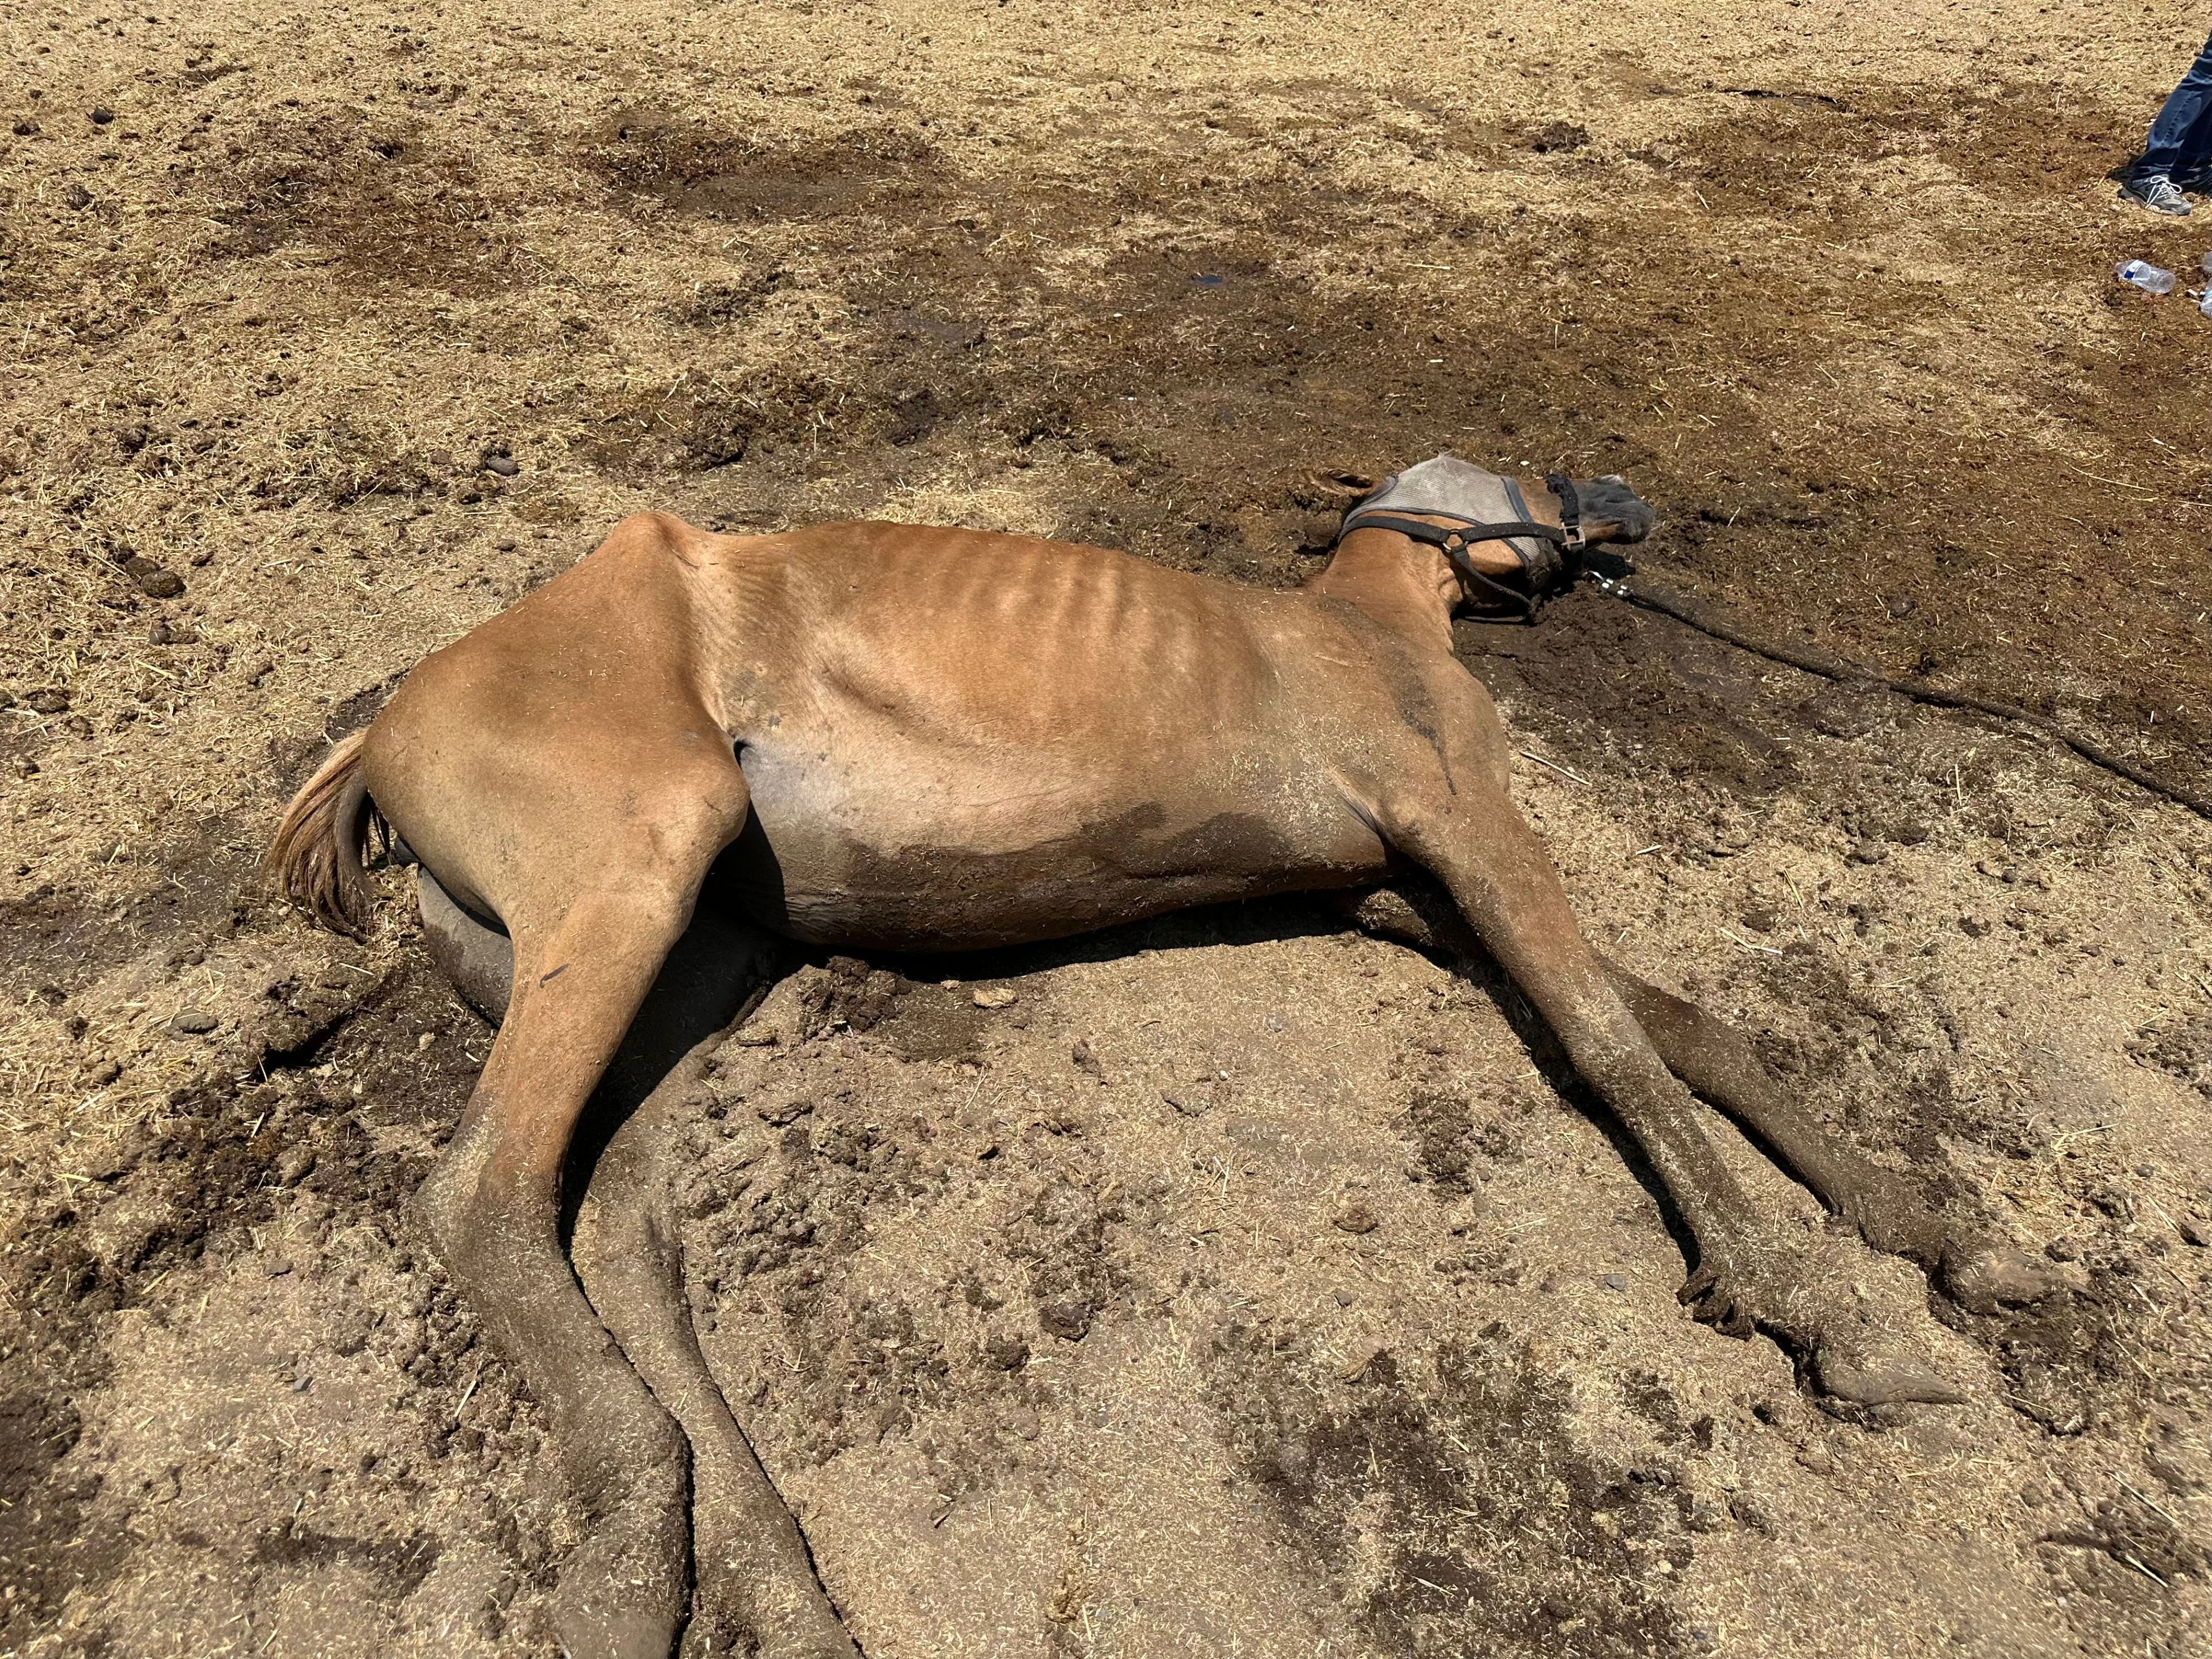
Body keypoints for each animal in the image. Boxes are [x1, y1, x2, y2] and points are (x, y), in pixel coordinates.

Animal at [272, 462, 2052, 1659]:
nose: (1629, 500)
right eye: (1541, 475)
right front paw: (1823, 1313)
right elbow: (1617, 1043)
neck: (1361, 632)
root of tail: (383, 728)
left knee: (616, 1234)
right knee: (482, 1195)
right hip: (633, 877)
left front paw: (1939, 1231)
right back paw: (634, 1554)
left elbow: (1684, 1027)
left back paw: (772, 1582)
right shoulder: (1459, 819)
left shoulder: (1391, 885)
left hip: (691, 961)